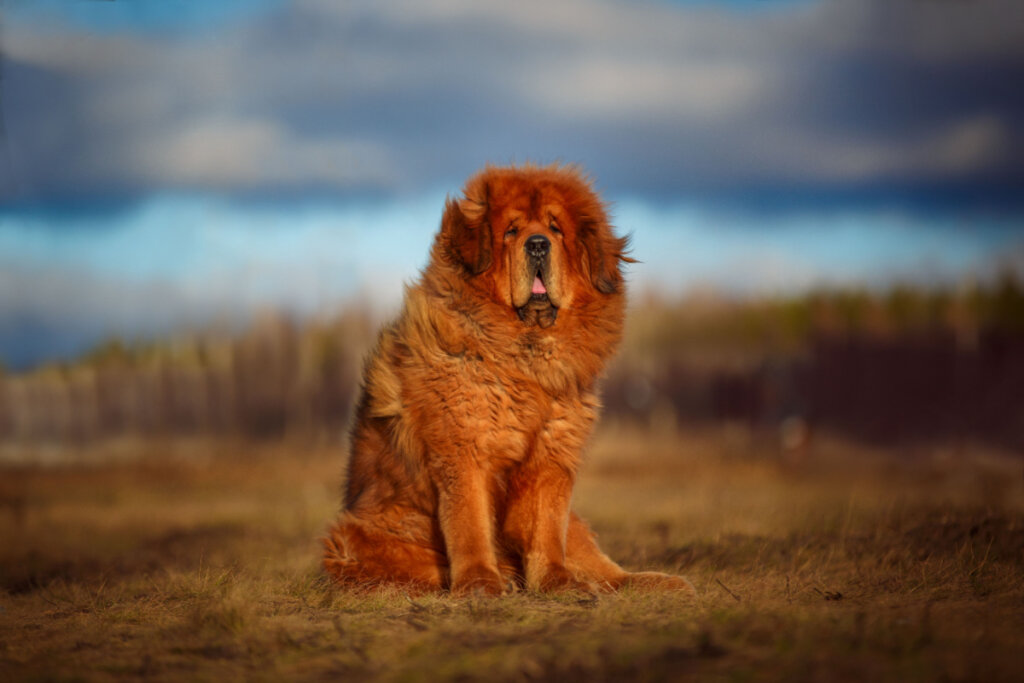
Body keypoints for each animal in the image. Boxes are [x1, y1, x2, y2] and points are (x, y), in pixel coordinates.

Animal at [323, 162, 696, 593]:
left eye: (555, 229)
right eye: (511, 231)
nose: (537, 245)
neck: (524, 360)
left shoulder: (552, 457)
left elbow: (546, 528)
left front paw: (557, 582)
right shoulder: (464, 451)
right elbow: (470, 524)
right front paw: (479, 583)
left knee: (606, 570)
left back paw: (657, 582)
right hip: (356, 537)